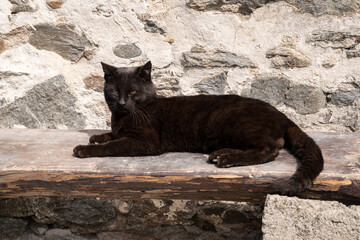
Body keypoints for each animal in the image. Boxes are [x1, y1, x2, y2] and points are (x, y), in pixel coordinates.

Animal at [73, 61, 324, 194]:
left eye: (133, 92)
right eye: (115, 92)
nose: (123, 102)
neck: (122, 116)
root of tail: (281, 114)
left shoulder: (145, 142)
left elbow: (115, 144)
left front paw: (85, 149)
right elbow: (112, 136)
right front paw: (97, 136)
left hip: (239, 125)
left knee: (269, 149)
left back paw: (226, 158)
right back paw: (220, 154)